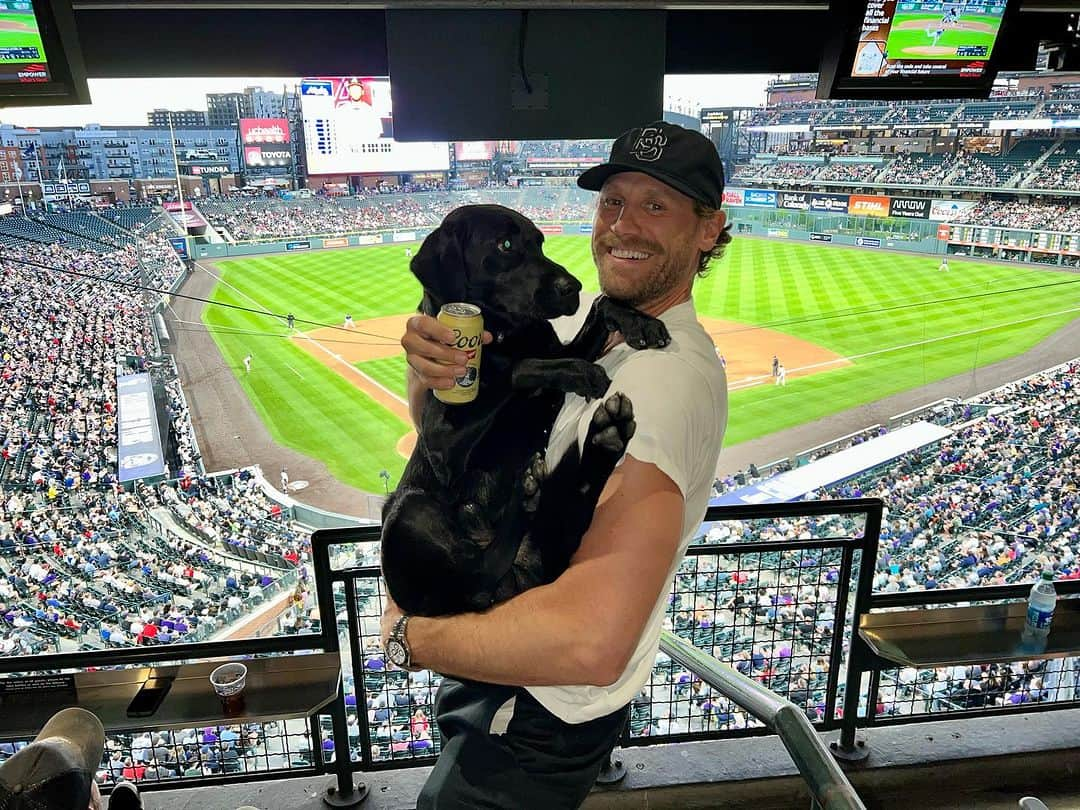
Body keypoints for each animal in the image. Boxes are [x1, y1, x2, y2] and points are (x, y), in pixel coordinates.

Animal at [380, 206, 665, 617]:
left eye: (540, 242)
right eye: (506, 245)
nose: (574, 286)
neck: (505, 332)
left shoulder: (567, 343)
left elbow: (601, 306)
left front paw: (639, 320)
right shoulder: (442, 439)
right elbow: (513, 369)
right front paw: (578, 371)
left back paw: (600, 442)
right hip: (409, 509)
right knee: (477, 577)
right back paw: (526, 496)